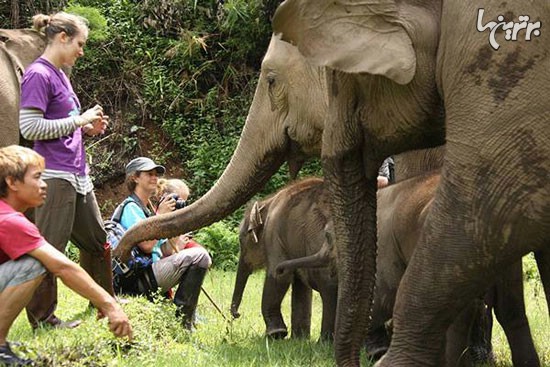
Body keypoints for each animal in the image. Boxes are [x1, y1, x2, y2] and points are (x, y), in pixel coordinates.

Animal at [231, 178, 338, 342]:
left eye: (240, 240)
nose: (236, 314)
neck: (267, 202)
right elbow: (300, 285)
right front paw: (299, 339)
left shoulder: (273, 233)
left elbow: (279, 276)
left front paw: (276, 334)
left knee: (327, 284)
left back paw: (325, 341)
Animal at [274, 0, 550, 367]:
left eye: (338, 77)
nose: (278, 271)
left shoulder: (505, 65)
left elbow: (494, 205)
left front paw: (390, 360)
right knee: (509, 305)